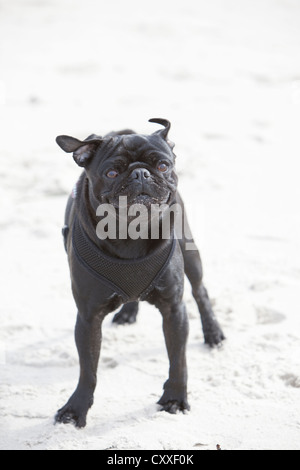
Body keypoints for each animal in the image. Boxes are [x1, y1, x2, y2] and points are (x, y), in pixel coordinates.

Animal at [55, 119, 224, 428]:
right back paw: (128, 311)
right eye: (111, 172)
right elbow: (88, 370)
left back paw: (213, 332)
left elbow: (178, 360)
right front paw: (76, 408)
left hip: (191, 253)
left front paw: (175, 398)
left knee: (200, 291)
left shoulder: (174, 310)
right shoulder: (88, 318)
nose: (141, 173)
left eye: (163, 166)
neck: (130, 232)